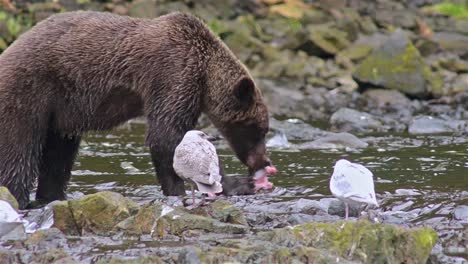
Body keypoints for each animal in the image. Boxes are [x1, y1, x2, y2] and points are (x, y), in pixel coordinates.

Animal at [0, 10, 274, 209]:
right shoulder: (172, 74)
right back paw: (18, 198)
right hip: (30, 93)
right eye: (258, 129)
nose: (265, 162)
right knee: (19, 152)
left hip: (61, 114)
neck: (204, 73)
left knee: (58, 157)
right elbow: (166, 136)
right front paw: (239, 183)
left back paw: (50, 197)